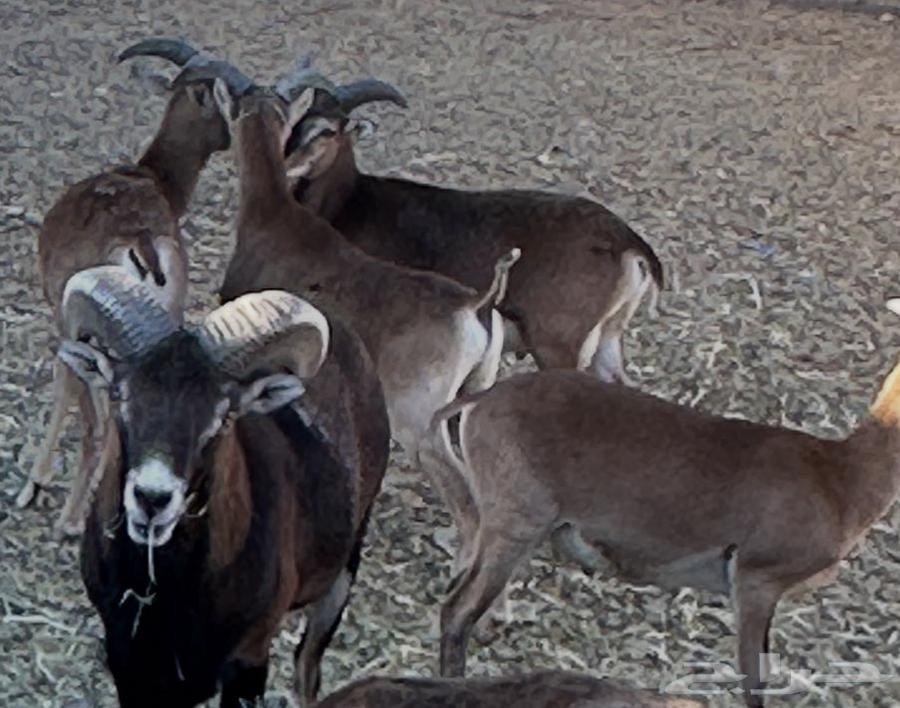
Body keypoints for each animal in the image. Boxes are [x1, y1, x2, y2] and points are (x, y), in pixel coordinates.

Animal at [17, 37, 232, 534]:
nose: (232, 137)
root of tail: (142, 246)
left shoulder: (64, 320)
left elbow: (63, 385)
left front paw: (34, 484)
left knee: (98, 424)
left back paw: (70, 521)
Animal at [61, 265, 389, 707]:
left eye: (223, 415)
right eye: (119, 396)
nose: (152, 499)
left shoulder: (247, 662)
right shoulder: (130, 666)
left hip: (340, 579)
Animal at [283, 69, 663, 385]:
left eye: (328, 130)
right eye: (289, 121)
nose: (289, 163)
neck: (350, 203)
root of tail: (627, 243)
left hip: (558, 346)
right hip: (607, 338)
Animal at [422, 301, 900, 707]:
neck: (843, 477)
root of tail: (479, 401)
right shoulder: (756, 581)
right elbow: (753, 682)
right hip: (516, 524)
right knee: (458, 610)